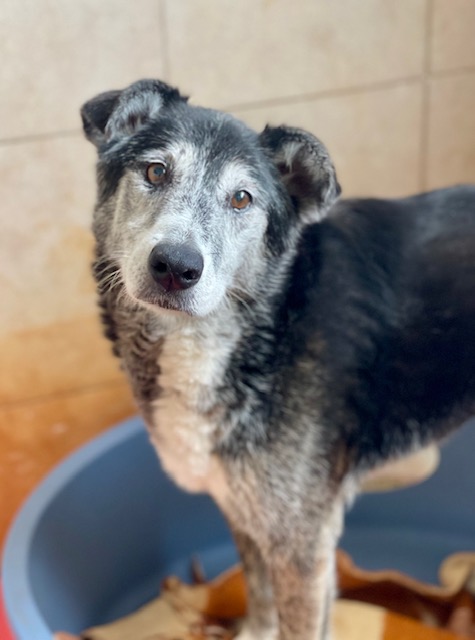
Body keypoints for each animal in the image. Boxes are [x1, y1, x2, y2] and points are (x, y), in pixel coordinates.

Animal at [81, 79, 475, 640]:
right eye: (156, 171)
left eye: (241, 198)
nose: (176, 267)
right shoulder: (246, 511)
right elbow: (259, 597)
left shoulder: (301, 546)